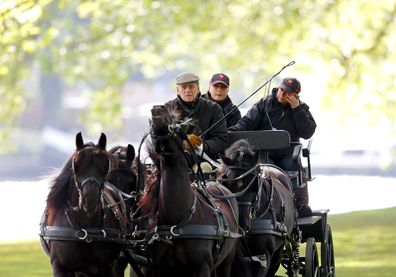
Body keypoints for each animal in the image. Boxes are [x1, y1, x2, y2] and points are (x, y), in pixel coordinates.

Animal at [40, 133, 127, 274]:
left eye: (105, 163)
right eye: (76, 163)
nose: (90, 200)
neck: (85, 228)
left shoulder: (104, 268)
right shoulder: (59, 266)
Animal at [138, 104, 240, 274]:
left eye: (178, 124)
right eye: (152, 129)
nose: (157, 108)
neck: (176, 223)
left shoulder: (203, 266)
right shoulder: (158, 268)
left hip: (227, 260)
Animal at [218, 139, 298, 276]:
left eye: (254, 183)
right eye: (226, 182)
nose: (241, 224)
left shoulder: (265, 253)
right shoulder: (238, 255)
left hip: (278, 251)